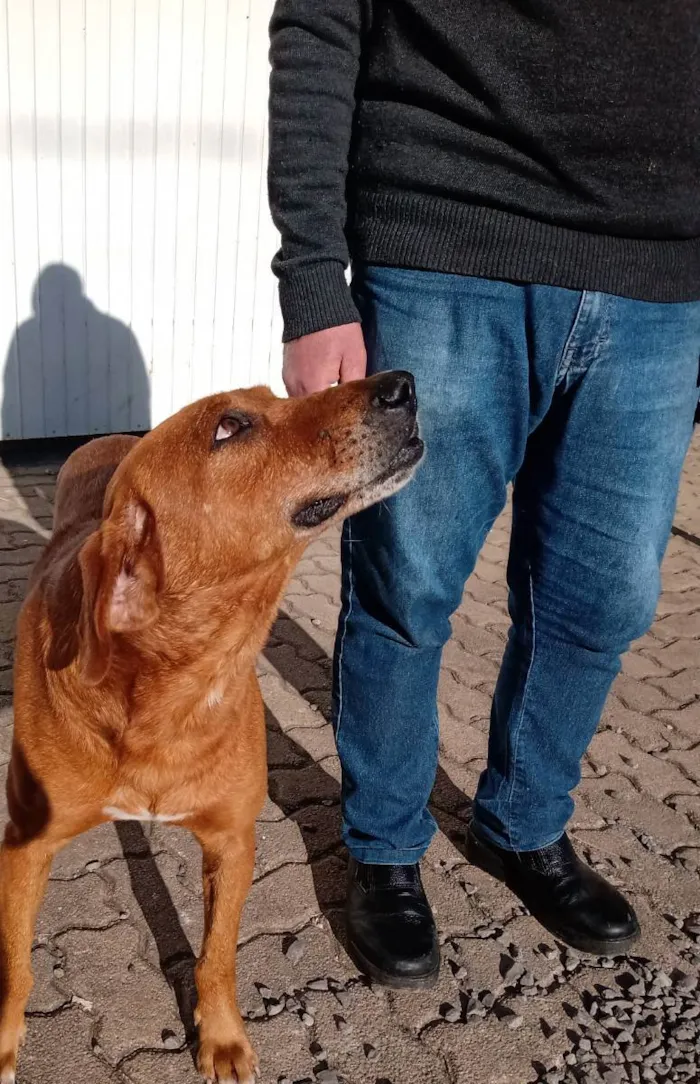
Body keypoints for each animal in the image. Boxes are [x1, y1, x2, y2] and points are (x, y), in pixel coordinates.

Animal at [0, 370, 422, 1075]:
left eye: (276, 394)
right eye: (229, 427)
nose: (402, 384)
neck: (172, 694)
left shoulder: (233, 840)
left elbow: (217, 957)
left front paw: (221, 1033)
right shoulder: (24, 844)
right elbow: (15, 965)